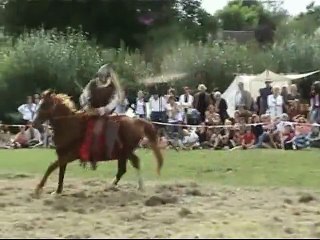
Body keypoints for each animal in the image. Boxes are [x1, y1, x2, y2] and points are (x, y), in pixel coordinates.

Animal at [32, 90, 164, 197]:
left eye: (44, 105)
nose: (34, 123)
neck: (70, 126)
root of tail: (136, 121)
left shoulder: (70, 156)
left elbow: (51, 167)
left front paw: (38, 188)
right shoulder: (62, 155)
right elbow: (60, 172)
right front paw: (58, 191)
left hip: (126, 151)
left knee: (135, 162)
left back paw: (140, 186)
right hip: (122, 153)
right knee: (122, 169)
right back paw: (111, 186)